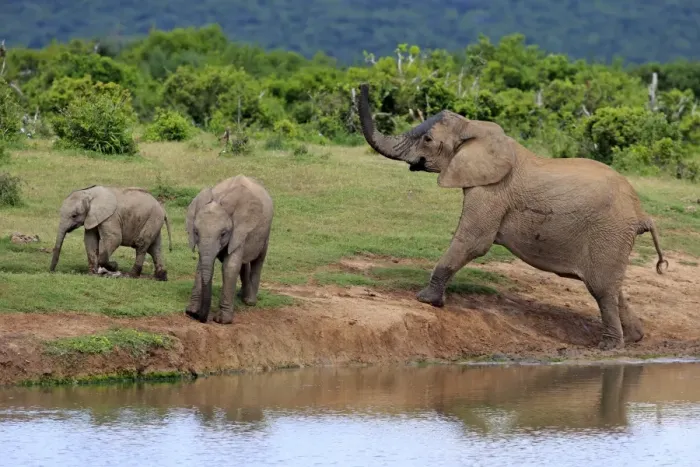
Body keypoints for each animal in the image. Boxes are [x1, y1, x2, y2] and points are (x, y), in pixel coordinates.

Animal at [184, 175, 274, 324]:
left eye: (223, 233)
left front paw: (222, 320)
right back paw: (241, 295)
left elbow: (230, 267)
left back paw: (249, 301)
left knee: (258, 259)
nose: (197, 316)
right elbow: (201, 266)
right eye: (196, 232)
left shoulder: (239, 229)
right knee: (244, 263)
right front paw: (191, 311)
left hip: (266, 231)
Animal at [356, 83, 668, 350]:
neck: (475, 128)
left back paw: (609, 347)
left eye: (428, 139)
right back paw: (635, 337)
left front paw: (425, 300)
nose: (363, 85)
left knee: (602, 289)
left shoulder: (493, 190)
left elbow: (473, 241)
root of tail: (642, 214)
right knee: (611, 288)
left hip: (610, 232)